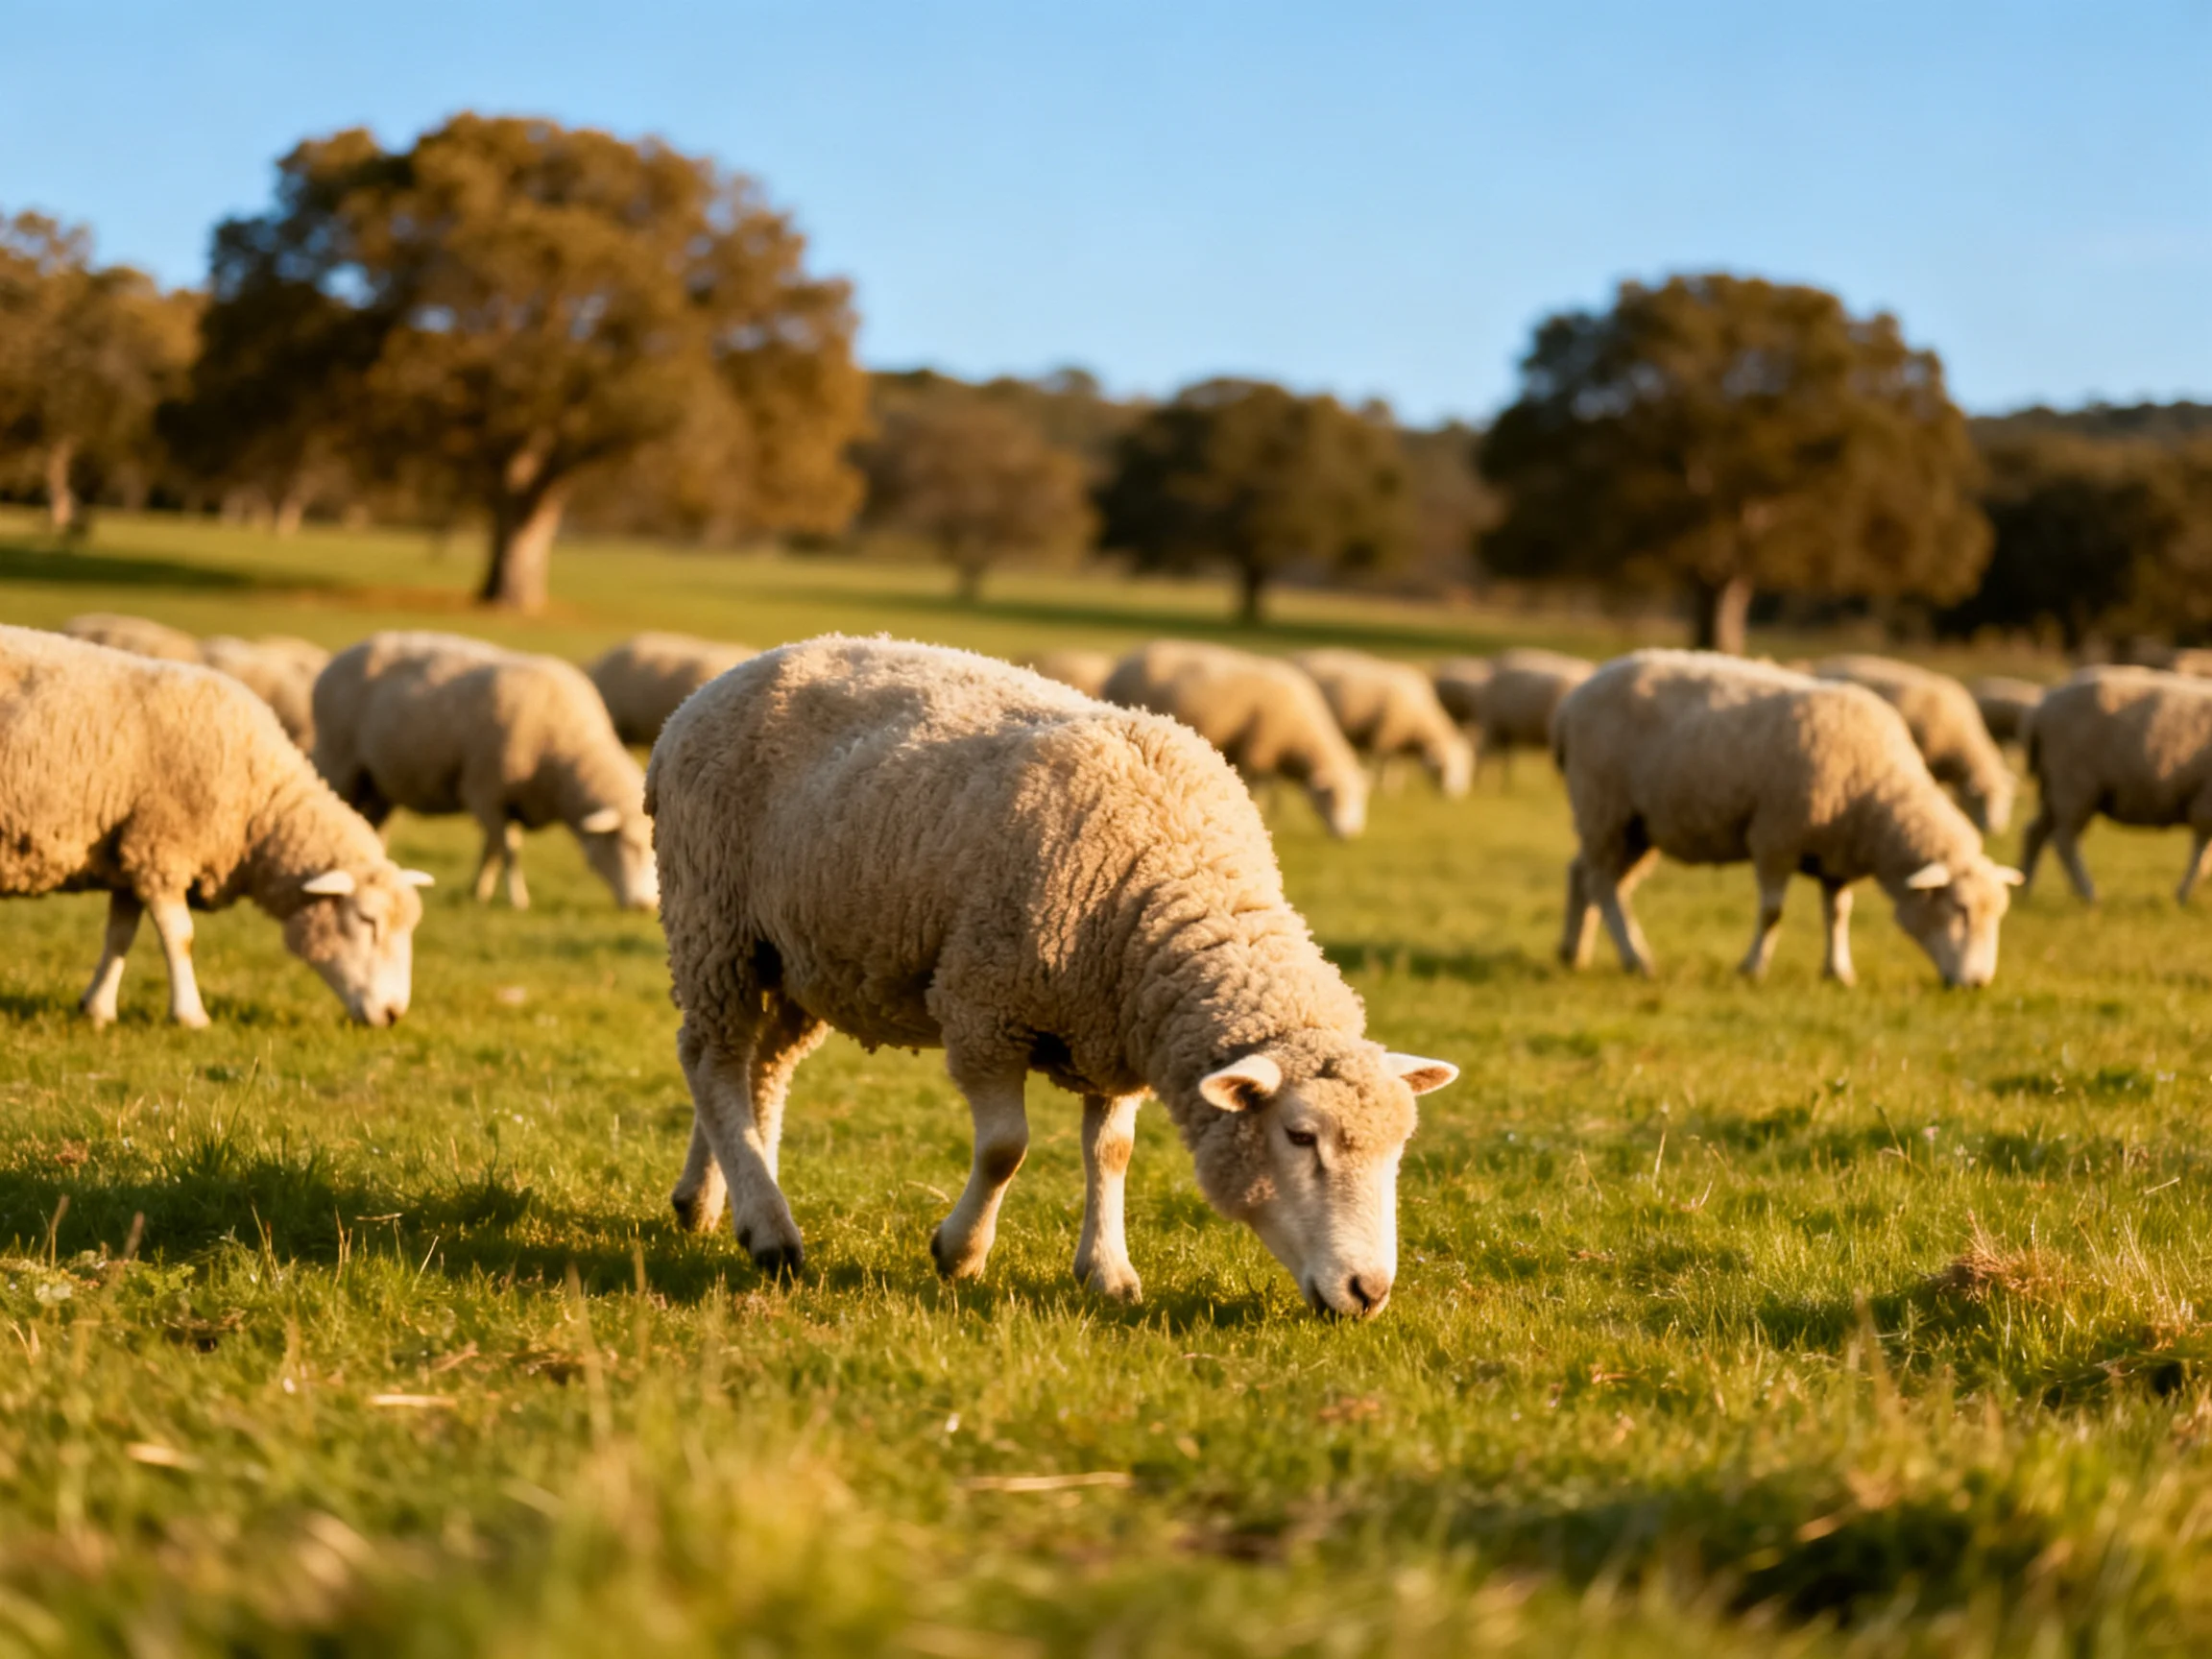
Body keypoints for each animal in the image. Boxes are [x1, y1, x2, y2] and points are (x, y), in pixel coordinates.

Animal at [314, 631, 657, 912]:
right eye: (630, 845)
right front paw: (517, 899)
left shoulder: (506, 800)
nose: (645, 906)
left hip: (379, 783)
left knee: (372, 826)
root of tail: (338, 659)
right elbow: (507, 850)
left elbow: (490, 849)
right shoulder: (484, 791)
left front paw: (478, 892)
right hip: (339, 761)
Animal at [1101, 641, 1369, 837]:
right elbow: (1258, 788)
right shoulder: (1258, 748)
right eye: (1334, 796)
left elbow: (1271, 789)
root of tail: (1123, 663)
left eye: (1360, 797)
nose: (1348, 835)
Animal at [1292, 648, 1473, 797]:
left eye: (1464, 767)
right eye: (1445, 767)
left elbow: (1396, 764)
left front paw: (1395, 786)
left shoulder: (1398, 739)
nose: (1452, 794)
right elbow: (1383, 761)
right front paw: (1385, 787)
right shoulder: (1385, 735)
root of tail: (1297, 657)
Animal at [2020, 668, 2212, 905]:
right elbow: (2201, 852)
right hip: (2074, 784)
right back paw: (2089, 894)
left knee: (2034, 832)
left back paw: (2023, 889)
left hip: (2054, 787)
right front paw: (2184, 894)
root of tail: (2043, 707)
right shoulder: (2206, 800)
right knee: (2064, 841)